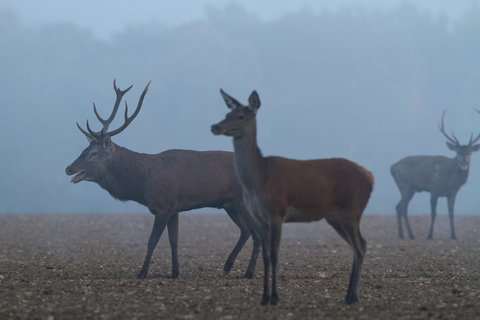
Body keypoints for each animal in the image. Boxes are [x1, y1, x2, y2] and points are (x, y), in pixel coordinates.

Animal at [65, 80, 260, 280]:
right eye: (83, 149)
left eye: (93, 153)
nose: (68, 169)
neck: (142, 183)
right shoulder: (174, 208)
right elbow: (174, 241)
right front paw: (175, 272)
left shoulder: (163, 207)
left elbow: (152, 241)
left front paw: (142, 273)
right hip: (230, 204)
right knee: (245, 231)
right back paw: (226, 267)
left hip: (242, 201)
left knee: (257, 233)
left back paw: (248, 273)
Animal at [211, 89, 376, 304]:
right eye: (227, 113)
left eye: (240, 116)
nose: (215, 126)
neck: (260, 177)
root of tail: (371, 177)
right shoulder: (261, 218)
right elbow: (266, 255)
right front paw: (264, 298)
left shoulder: (277, 213)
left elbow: (274, 255)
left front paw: (275, 297)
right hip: (335, 217)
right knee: (357, 246)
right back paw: (348, 296)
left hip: (351, 210)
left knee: (360, 246)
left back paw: (352, 297)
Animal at [390, 110, 480, 240]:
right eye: (458, 152)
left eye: (470, 152)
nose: (464, 162)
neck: (451, 180)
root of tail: (392, 168)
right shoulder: (434, 189)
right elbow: (433, 214)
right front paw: (429, 235)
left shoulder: (452, 193)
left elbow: (451, 214)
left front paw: (454, 235)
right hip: (405, 186)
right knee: (403, 208)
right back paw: (410, 235)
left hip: (409, 189)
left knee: (398, 207)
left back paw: (402, 234)